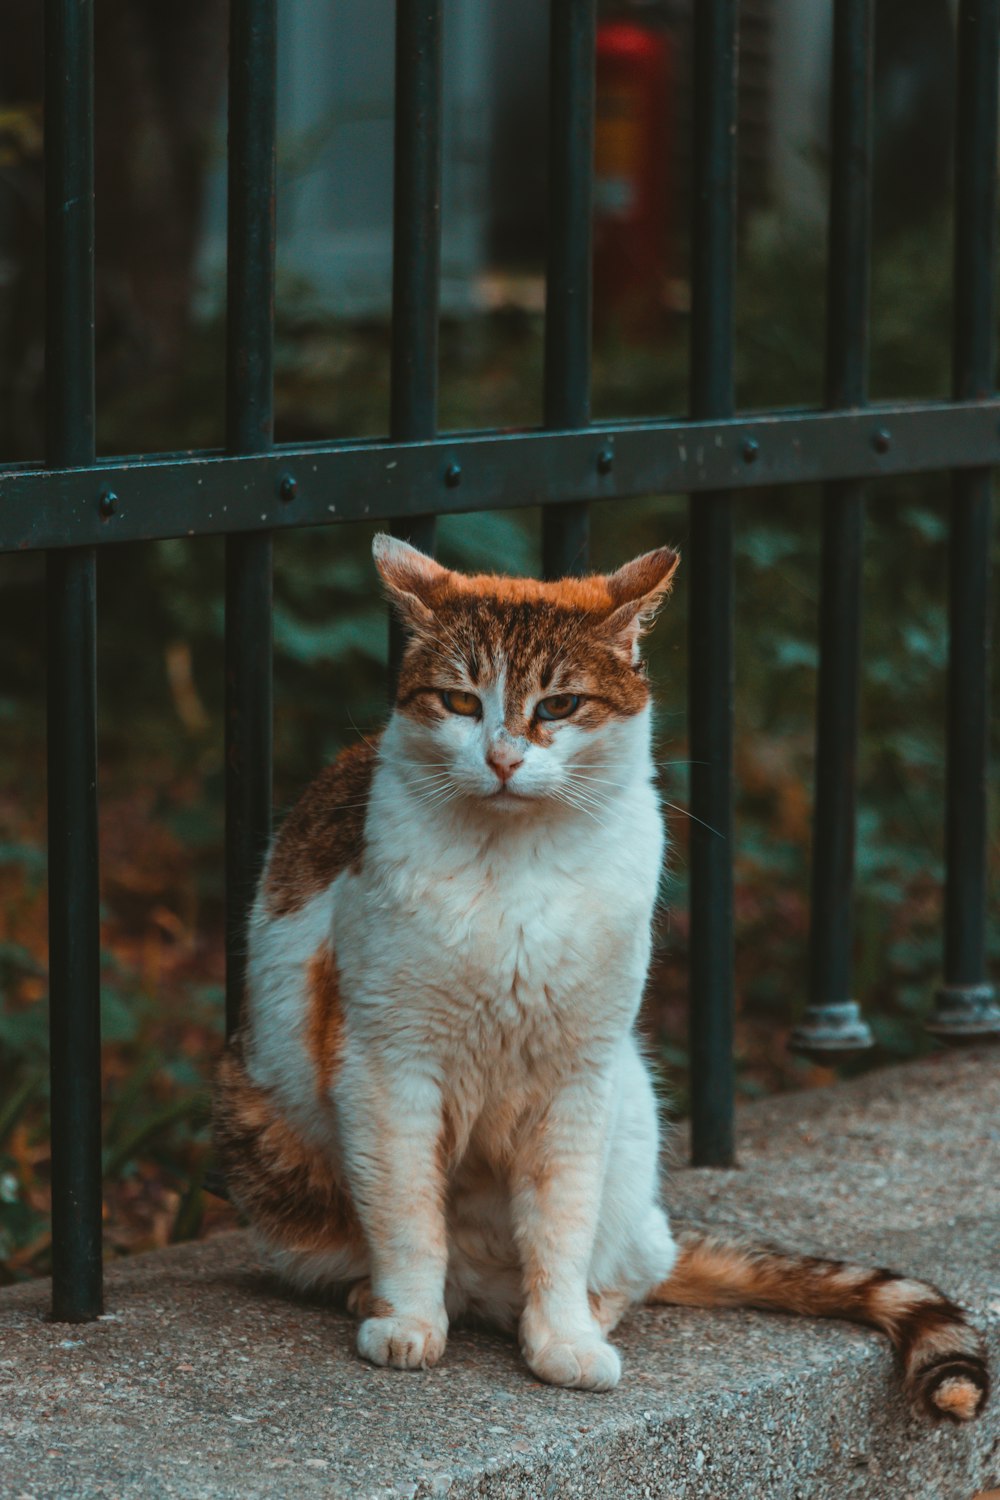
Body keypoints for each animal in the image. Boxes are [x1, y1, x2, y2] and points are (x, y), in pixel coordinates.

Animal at [212, 534, 995, 1422]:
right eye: (458, 702)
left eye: (558, 706)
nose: (502, 758)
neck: (518, 873)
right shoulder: (389, 1067)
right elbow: (409, 1218)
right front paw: (407, 1320)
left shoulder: (578, 1078)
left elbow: (561, 1227)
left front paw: (563, 1339)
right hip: (263, 1136)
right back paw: (386, 1298)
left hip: (631, 1107)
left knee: (628, 1266)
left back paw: (574, 1312)